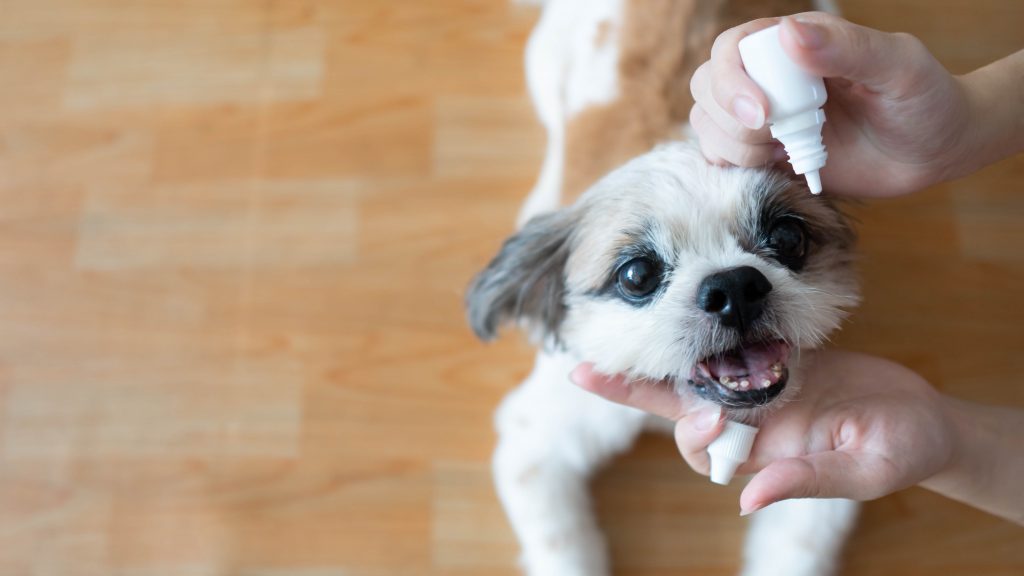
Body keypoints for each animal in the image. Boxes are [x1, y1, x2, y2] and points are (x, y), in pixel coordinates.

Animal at [468, 1, 860, 573]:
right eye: (636, 275)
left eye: (789, 237)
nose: (734, 288)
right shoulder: (536, 439)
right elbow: (566, 549)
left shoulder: (822, 478)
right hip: (544, 64)